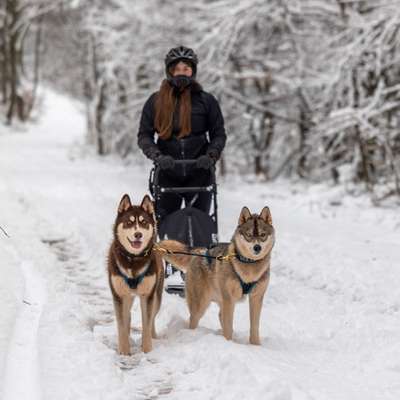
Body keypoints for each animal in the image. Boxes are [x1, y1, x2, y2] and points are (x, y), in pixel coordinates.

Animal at [108, 194, 164, 354]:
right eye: (129, 222)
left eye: (144, 223)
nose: (138, 234)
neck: (133, 259)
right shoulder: (119, 295)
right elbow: (121, 324)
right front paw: (124, 350)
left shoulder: (148, 295)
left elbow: (147, 322)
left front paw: (147, 349)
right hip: (127, 296)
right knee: (127, 316)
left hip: (157, 296)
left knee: (152, 319)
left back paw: (154, 337)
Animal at [158, 206, 274, 344]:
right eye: (249, 235)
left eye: (262, 235)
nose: (257, 248)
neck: (249, 266)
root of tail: (199, 251)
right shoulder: (229, 299)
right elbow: (228, 326)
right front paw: (228, 343)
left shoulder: (256, 298)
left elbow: (254, 327)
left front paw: (255, 345)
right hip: (201, 304)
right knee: (194, 319)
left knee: (220, 316)